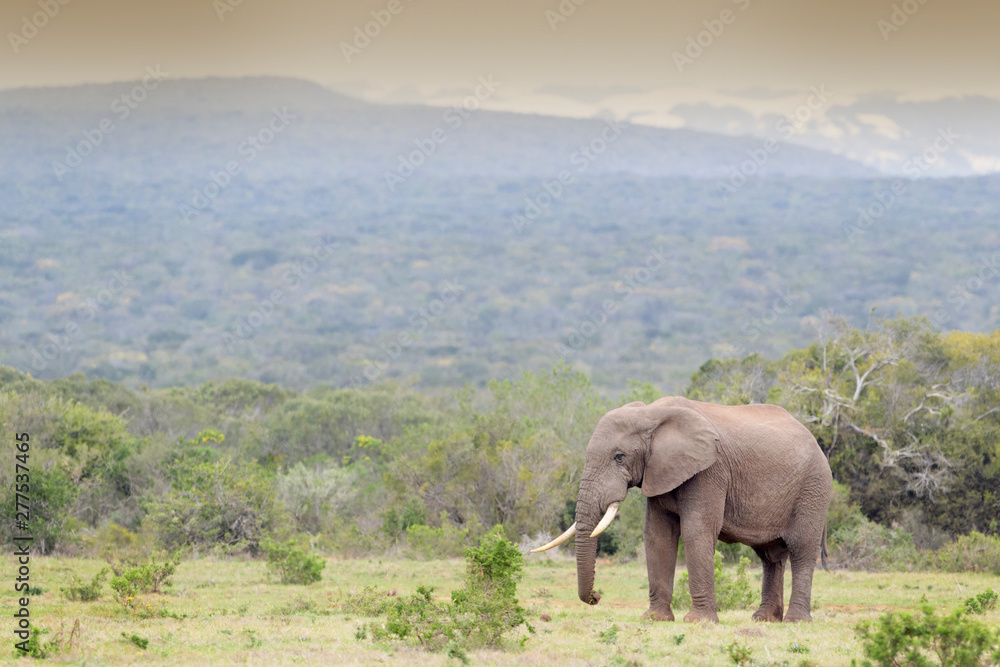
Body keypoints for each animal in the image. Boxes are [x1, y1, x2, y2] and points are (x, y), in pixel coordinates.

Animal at [533, 396, 832, 623]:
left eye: (619, 457)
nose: (596, 597)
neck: (651, 413)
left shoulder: (710, 471)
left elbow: (696, 531)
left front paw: (698, 622)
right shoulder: (659, 471)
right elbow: (657, 536)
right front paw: (655, 619)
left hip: (813, 489)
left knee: (802, 549)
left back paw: (795, 621)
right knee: (770, 556)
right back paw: (764, 619)